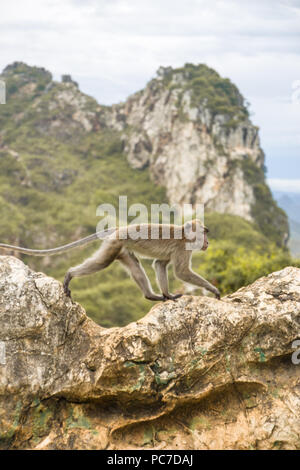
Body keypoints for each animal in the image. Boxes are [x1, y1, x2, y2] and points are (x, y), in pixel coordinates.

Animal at [0, 220, 220, 302]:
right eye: (204, 233)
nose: (208, 242)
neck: (185, 235)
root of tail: (119, 229)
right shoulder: (183, 249)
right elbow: (181, 272)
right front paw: (213, 289)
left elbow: (159, 264)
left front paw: (167, 295)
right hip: (114, 243)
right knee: (102, 263)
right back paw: (70, 274)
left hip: (122, 249)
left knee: (135, 266)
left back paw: (151, 296)